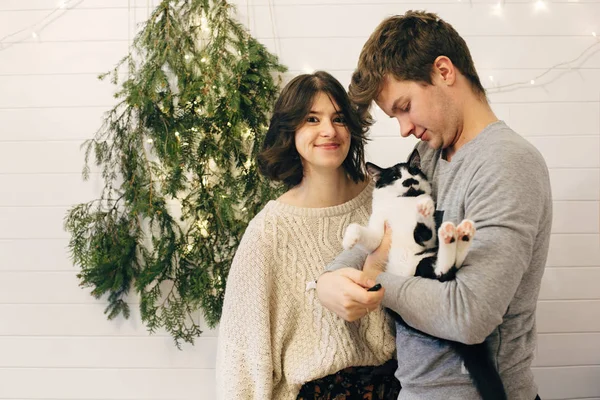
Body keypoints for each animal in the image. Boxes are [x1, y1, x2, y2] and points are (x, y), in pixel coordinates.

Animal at [342, 148, 506, 400]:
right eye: (393, 176)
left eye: (413, 170)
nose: (409, 181)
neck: (403, 203)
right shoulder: (379, 233)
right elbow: (366, 234)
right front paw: (349, 238)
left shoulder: (425, 238)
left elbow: (425, 230)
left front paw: (425, 207)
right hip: (417, 277)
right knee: (444, 270)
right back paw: (458, 235)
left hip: (425, 260)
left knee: (445, 271)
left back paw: (456, 235)